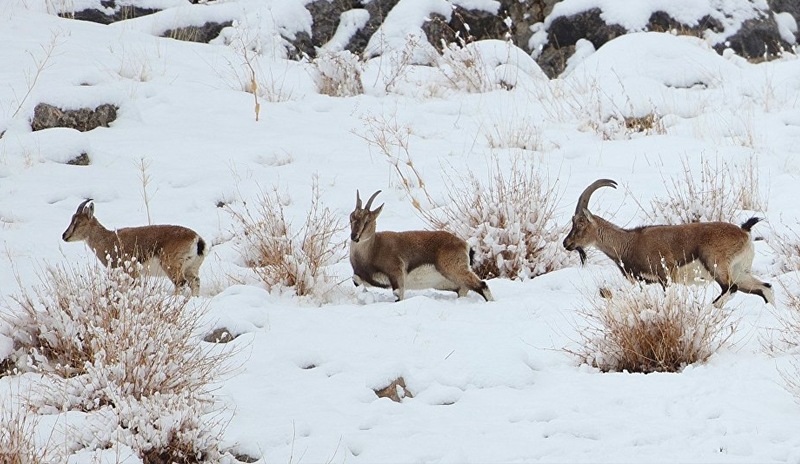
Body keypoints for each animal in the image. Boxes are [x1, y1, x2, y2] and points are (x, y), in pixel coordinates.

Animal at [63, 198, 206, 294]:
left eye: (79, 222)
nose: (64, 236)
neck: (108, 239)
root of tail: (197, 239)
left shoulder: (131, 271)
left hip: (171, 266)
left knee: (181, 283)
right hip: (191, 268)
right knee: (195, 282)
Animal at [350, 190, 494, 302]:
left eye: (367, 221)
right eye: (351, 218)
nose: (354, 236)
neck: (373, 249)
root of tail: (464, 244)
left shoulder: (397, 274)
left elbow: (398, 295)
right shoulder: (361, 277)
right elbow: (356, 281)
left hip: (454, 269)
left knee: (482, 285)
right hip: (447, 281)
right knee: (464, 289)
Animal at [564, 179, 776, 308]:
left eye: (580, 223)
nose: (567, 243)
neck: (629, 242)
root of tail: (744, 231)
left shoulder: (665, 276)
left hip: (716, 265)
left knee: (730, 289)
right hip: (741, 272)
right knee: (765, 288)